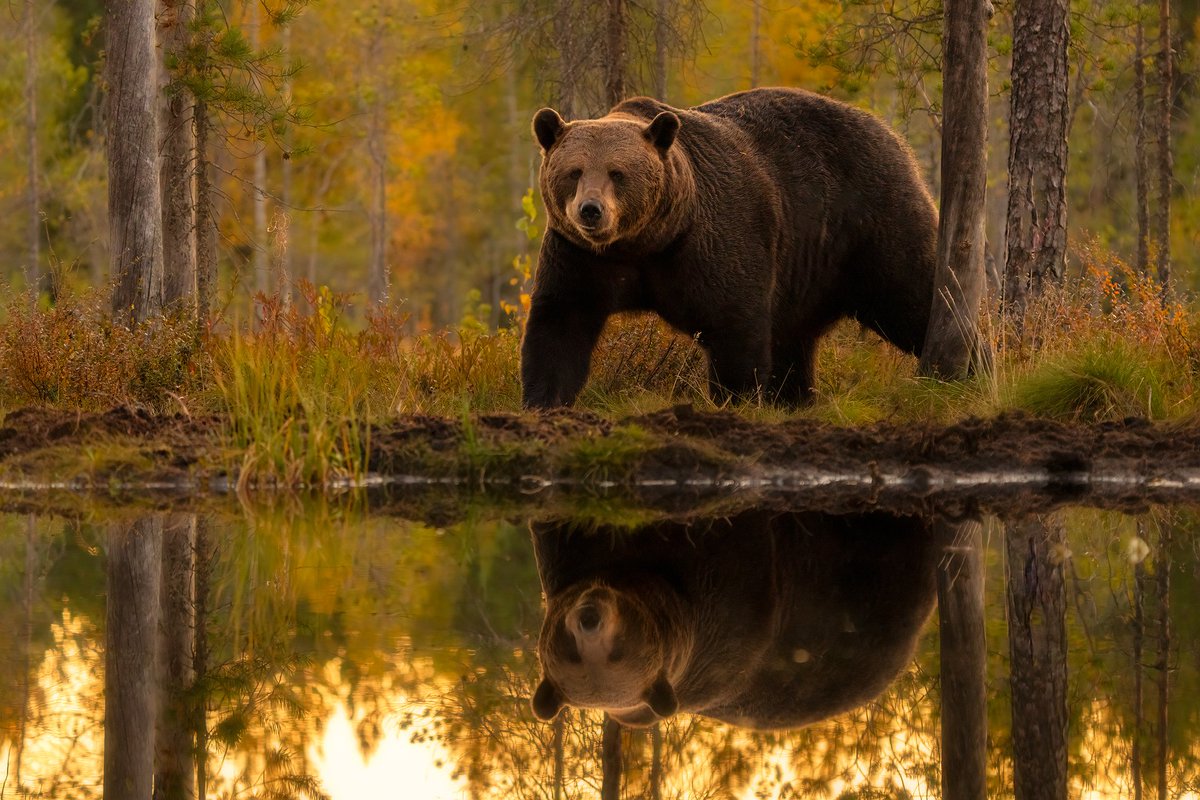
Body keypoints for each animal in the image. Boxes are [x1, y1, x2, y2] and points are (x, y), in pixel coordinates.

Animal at [521, 87, 938, 408]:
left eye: (617, 173)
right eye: (574, 171)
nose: (591, 210)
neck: (646, 241)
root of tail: (888, 132)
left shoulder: (714, 242)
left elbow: (735, 322)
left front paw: (735, 398)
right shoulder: (580, 256)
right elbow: (560, 323)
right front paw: (543, 399)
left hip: (871, 221)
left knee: (913, 294)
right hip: (804, 270)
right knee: (793, 338)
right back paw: (793, 399)